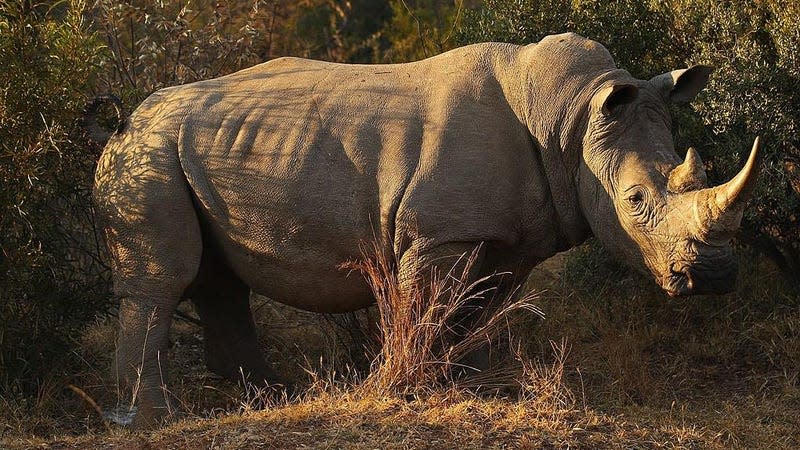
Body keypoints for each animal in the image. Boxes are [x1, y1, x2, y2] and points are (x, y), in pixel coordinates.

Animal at [92, 31, 756, 426]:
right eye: (636, 199)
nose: (717, 276)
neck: (571, 118)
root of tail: (125, 118)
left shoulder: (511, 238)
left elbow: (478, 305)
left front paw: (472, 383)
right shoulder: (440, 233)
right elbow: (425, 304)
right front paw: (404, 388)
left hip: (199, 147)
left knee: (219, 279)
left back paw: (268, 396)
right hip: (147, 153)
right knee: (163, 281)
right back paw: (153, 418)